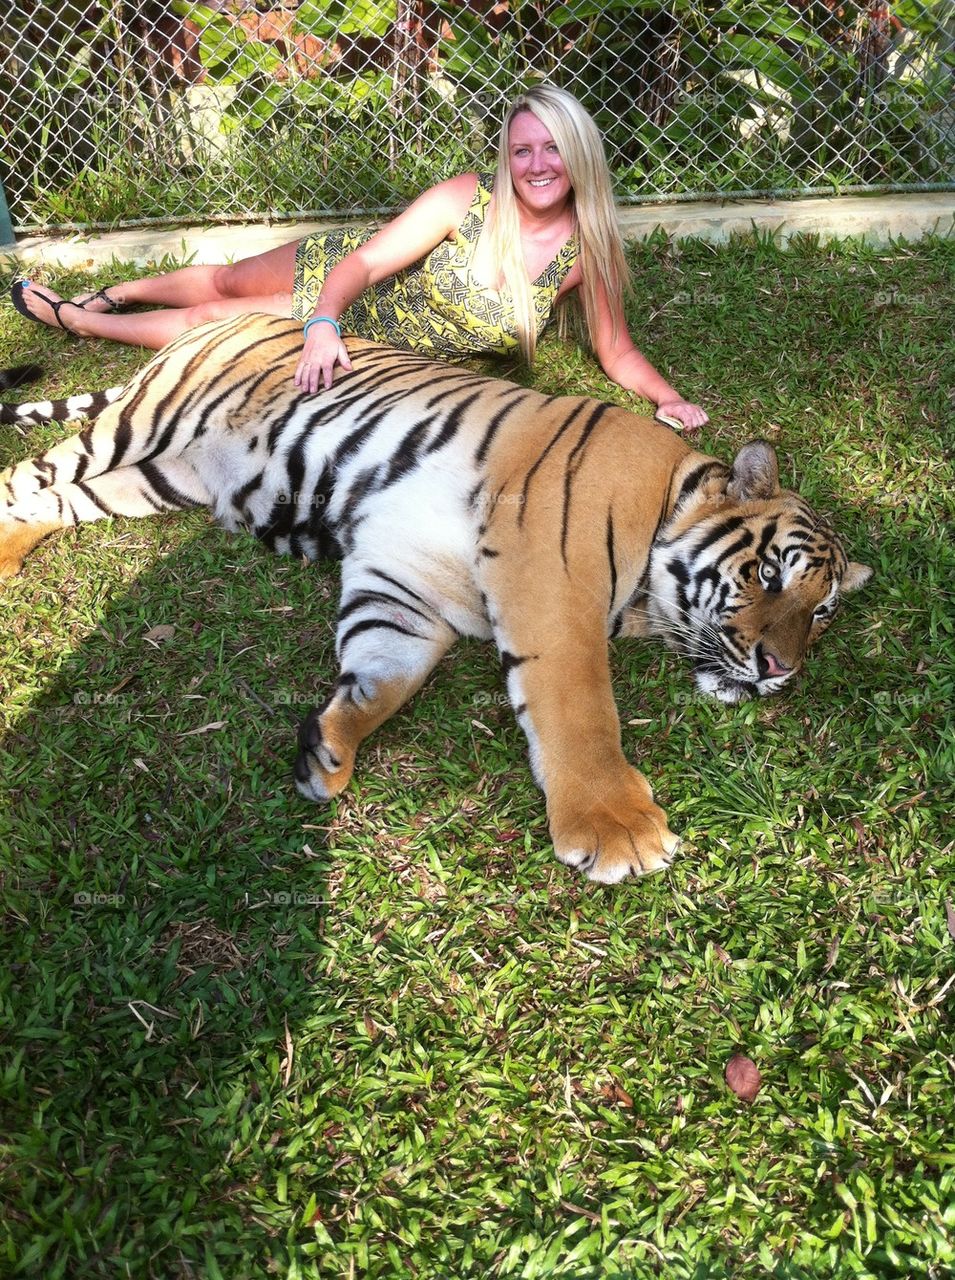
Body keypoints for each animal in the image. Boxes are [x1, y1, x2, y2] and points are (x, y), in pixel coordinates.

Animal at [0, 313, 871, 883]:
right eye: (770, 575)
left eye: (821, 613)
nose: (780, 670)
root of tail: (214, 322)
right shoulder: (548, 578)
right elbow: (578, 704)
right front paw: (616, 829)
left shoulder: (404, 588)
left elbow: (386, 675)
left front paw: (328, 748)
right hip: (139, 427)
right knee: (24, 476)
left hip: (159, 477)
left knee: (54, 501)